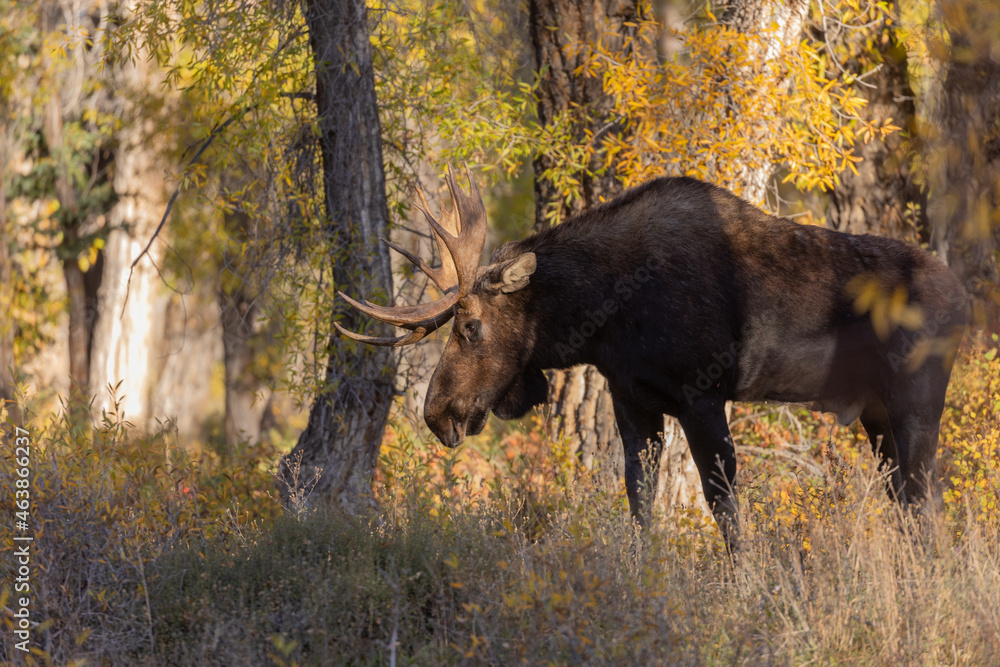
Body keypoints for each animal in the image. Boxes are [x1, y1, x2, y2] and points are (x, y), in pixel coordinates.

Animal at [337, 165, 967, 547]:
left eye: (470, 326)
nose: (437, 413)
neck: (606, 315)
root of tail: (965, 298)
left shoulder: (703, 396)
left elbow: (724, 506)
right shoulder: (633, 401)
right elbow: (639, 502)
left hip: (917, 403)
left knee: (927, 502)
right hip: (877, 415)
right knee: (909, 504)